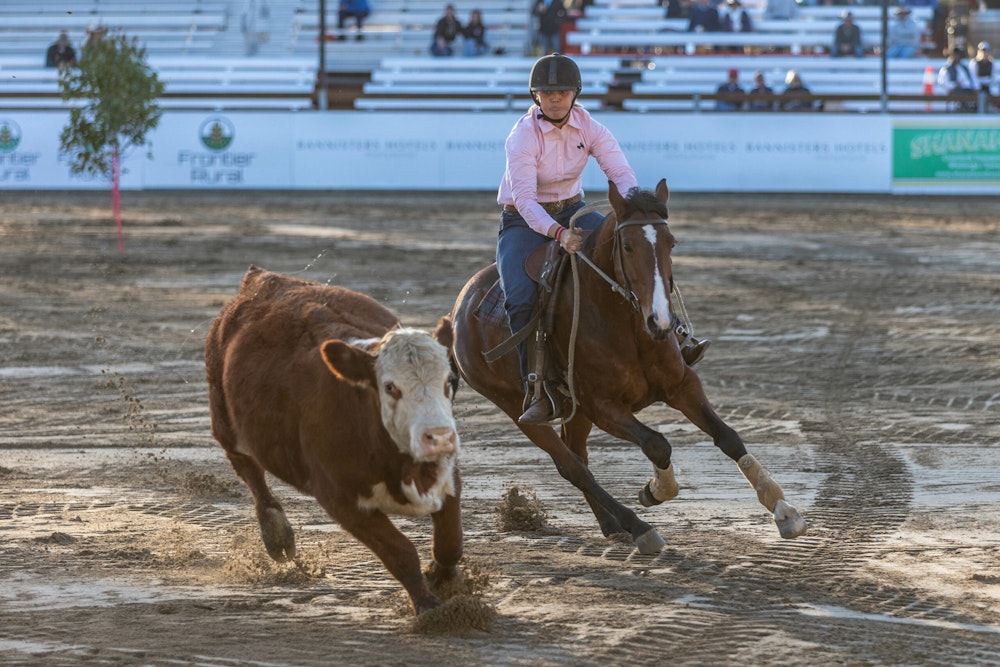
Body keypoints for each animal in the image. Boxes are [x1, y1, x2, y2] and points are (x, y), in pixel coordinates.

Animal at [209, 266, 466, 616]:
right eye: (390, 387)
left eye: (449, 380)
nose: (438, 437)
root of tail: (261, 280)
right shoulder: (340, 499)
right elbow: (399, 552)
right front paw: (428, 606)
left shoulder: (447, 473)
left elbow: (450, 542)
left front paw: (440, 576)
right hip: (224, 421)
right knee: (249, 470)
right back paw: (277, 535)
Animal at [452, 179, 804, 552]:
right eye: (627, 245)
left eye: (671, 242)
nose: (660, 320)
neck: (626, 326)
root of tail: (459, 307)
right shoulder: (603, 406)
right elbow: (657, 444)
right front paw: (654, 491)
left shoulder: (681, 384)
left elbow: (728, 437)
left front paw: (784, 509)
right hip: (514, 407)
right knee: (572, 467)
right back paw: (637, 527)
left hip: (576, 413)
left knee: (578, 458)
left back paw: (611, 525)